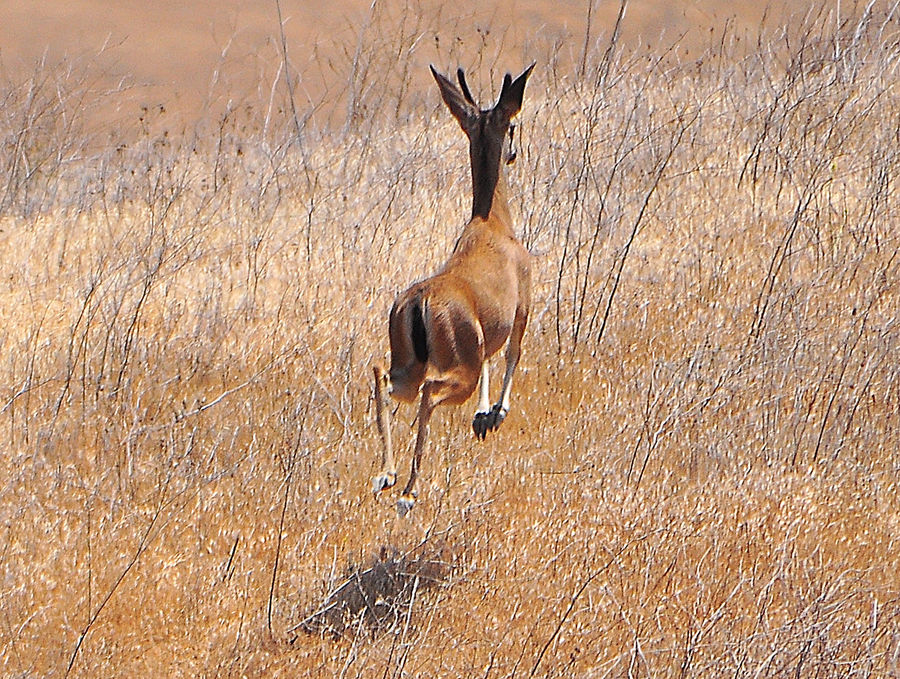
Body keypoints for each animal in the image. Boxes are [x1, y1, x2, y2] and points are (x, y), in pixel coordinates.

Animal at [372, 62, 536, 516]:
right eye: (512, 123)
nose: (515, 151)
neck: (493, 223)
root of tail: (417, 302)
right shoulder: (522, 307)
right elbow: (511, 355)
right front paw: (494, 413)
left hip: (408, 365)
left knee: (382, 376)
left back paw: (386, 477)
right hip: (454, 369)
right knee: (430, 393)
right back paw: (408, 491)